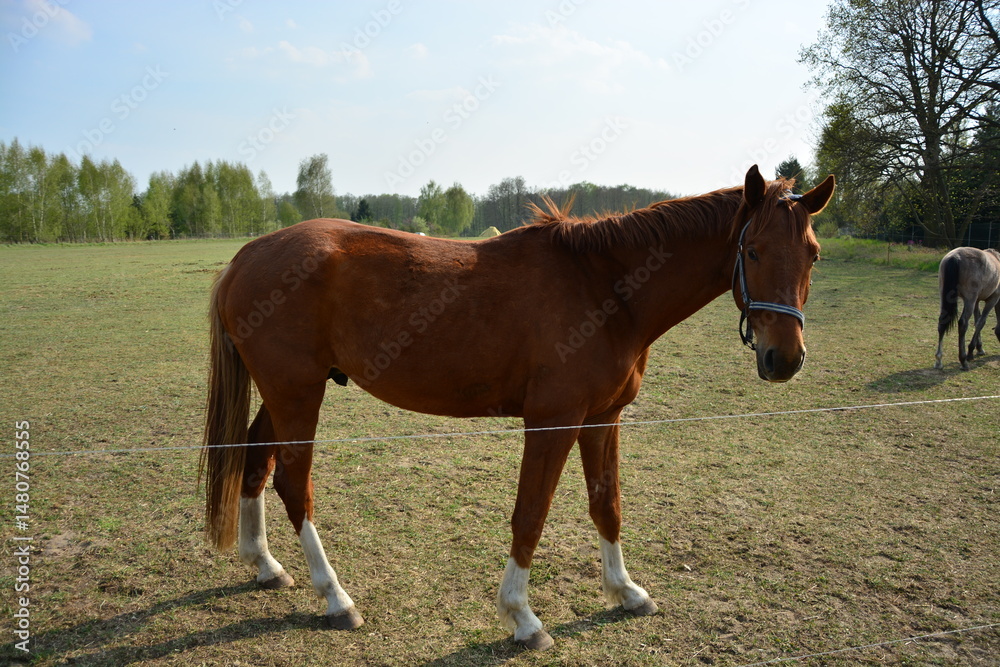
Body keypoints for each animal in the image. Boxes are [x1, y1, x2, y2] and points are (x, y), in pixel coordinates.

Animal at [200, 165, 834, 650]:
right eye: (752, 250)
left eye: (813, 255)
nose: (784, 358)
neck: (606, 287)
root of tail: (245, 256)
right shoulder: (553, 421)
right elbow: (531, 513)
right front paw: (522, 617)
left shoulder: (603, 419)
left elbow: (607, 506)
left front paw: (624, 591)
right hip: (297, 393)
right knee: (294, 484)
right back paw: (335, 596)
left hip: (285, 393)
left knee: (254, 460)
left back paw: (265, 565)